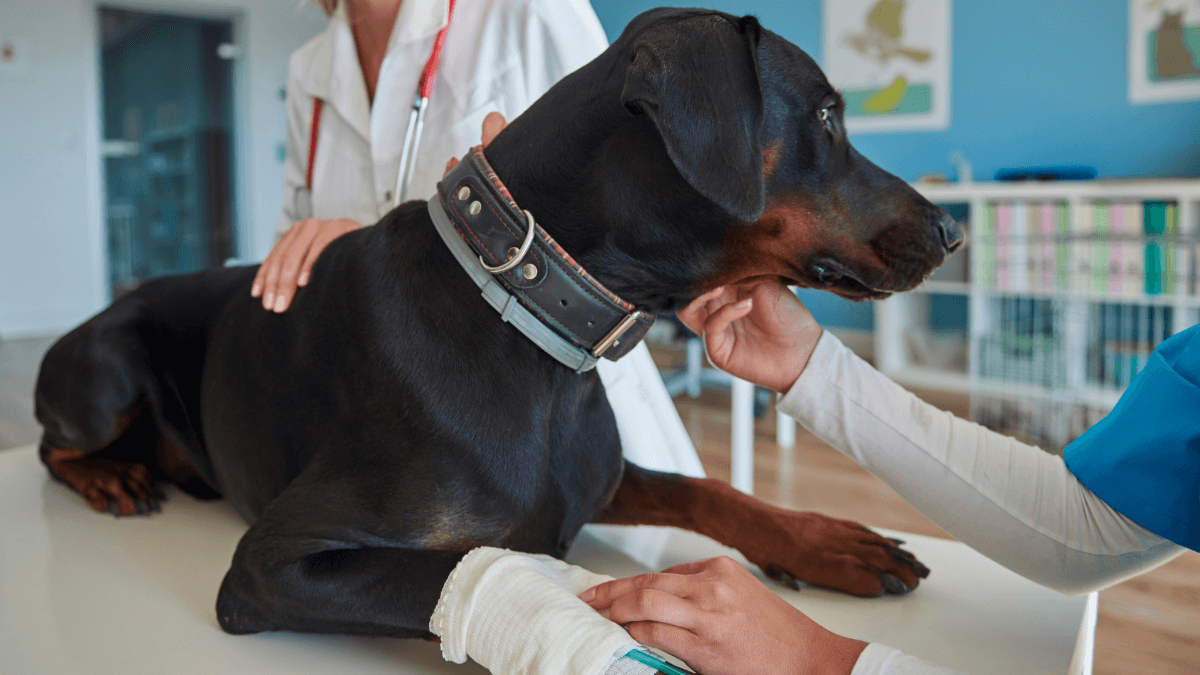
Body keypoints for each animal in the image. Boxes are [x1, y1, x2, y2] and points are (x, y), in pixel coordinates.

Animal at [32, 9, 960, 634]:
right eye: (828, 117)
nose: (953, 231)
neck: (536, 324)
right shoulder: (272, 563)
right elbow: (519, 568)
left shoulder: (595, 477)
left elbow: (706, 488)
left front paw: (828, 541)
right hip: (109, 364)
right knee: (51, 444)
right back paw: (113, 475)